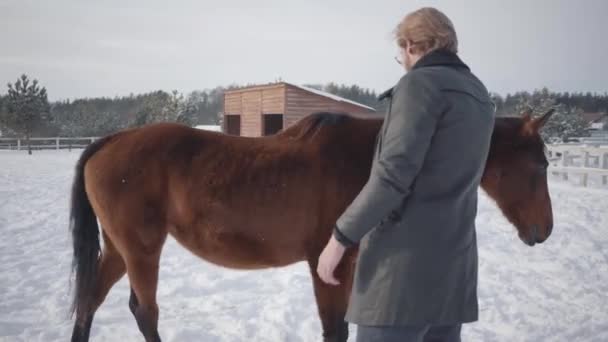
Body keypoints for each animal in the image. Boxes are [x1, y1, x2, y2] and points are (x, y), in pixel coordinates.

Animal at [69, 108, 552, 342]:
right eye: (540, 164)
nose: (544, 231)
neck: (369, 164)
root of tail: (111, 141)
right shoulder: (327, 266)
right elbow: (334, 330)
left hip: (120, 250)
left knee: (90, 301)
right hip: (141, 251)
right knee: (144, 312)